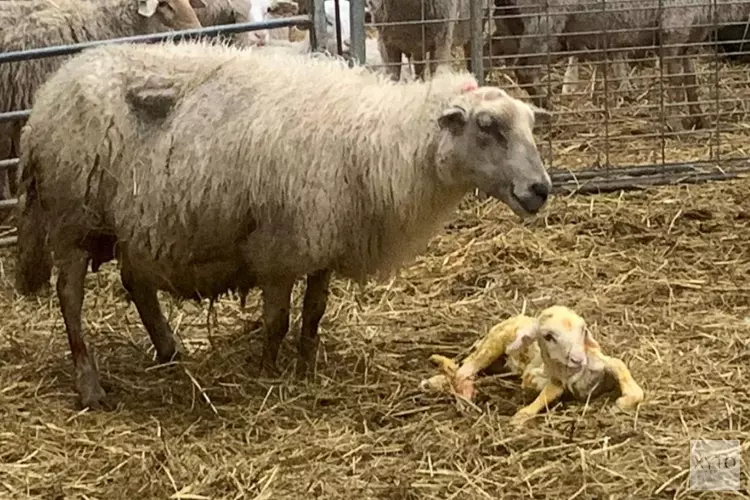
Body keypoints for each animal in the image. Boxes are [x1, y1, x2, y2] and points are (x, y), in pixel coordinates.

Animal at [13, 40, 552, 410]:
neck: (377, 141)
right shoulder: (279, 246)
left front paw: (307, 365)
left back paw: (169, 349)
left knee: (135, 282)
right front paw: (268, 369)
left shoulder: (323, 241)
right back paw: (90, 386)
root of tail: (48, 95)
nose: (540, 189)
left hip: (133, 223)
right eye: (487, 127)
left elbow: (313, 313)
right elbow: (277, 319)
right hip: (72, 219)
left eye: (530, 124)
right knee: (70, 298)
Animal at [424, 304, 648, 426]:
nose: (578, 359)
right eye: (548, 336)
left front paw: (624, 402)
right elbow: (548, 388)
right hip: (493, 343)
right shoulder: (535, 375)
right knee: (464, 369)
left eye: (583, 329)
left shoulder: (600, 362)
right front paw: (520, 417)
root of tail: (520, 317)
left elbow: (619, 365)